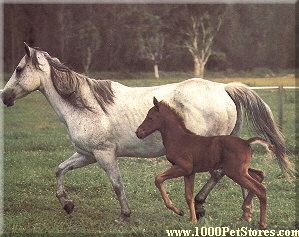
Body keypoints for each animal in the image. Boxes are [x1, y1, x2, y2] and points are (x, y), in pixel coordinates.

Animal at [137, 97, 274, 229]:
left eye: (150, 117)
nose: (138, 133)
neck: (179, 139)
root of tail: (246, 142)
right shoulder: (189, 172)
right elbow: (189, 195)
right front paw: (193, 219)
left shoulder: (183, 167)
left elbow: (158, 179)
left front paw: (178, 211)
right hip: (239, 170)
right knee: (259, 175)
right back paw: (247, 211)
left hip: (236, 172)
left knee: (260, 188)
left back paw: (262, 224)